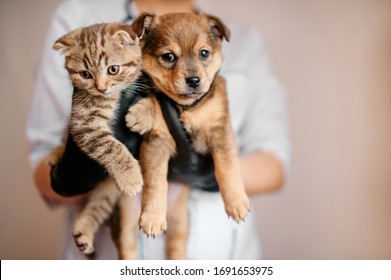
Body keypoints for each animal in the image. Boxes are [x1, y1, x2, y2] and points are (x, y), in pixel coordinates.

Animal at [128, 12, 251, 258]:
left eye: (204, 53)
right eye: (168, 56)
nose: (194, 80)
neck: (187, 107)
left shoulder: (221, 132)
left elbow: (227, 168)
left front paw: (236, 202)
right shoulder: (157, 143)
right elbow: (156, 182)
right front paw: (152, 218)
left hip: (180, 224)